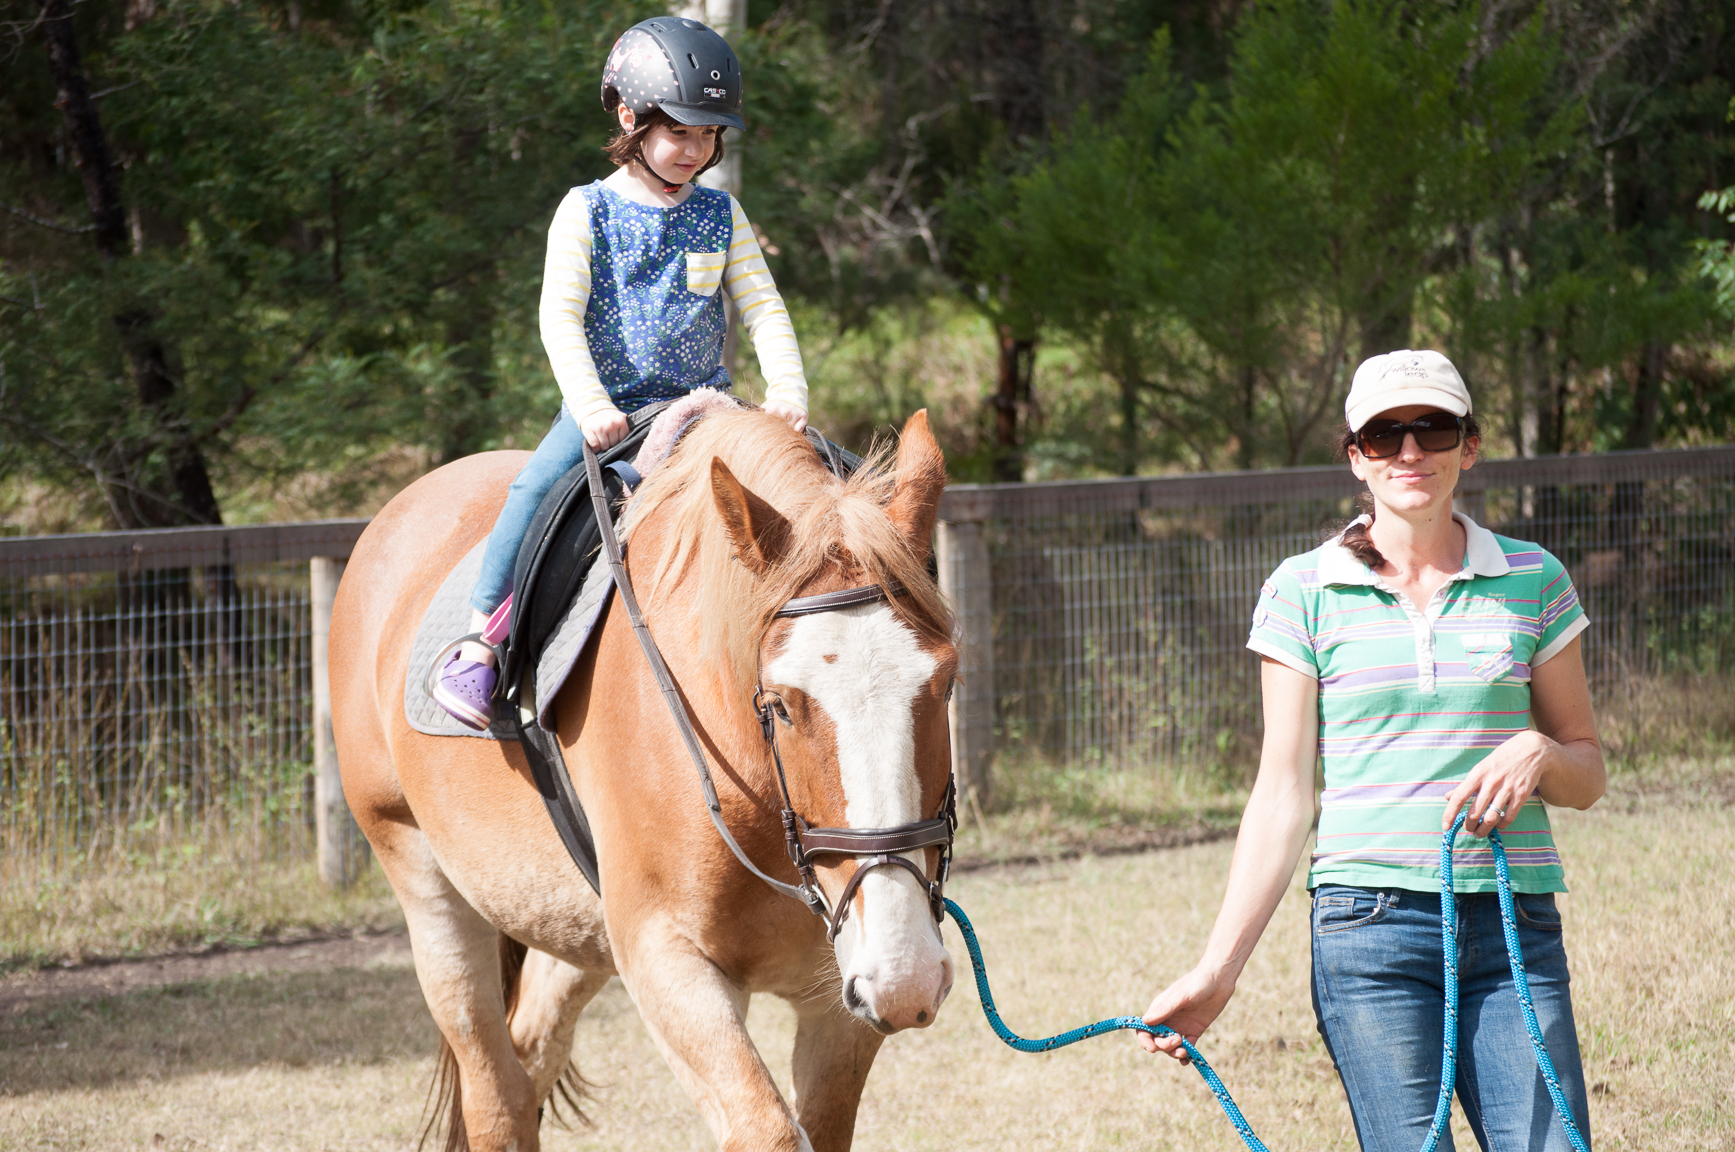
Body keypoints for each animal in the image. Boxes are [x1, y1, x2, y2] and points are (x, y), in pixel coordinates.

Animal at [329, 407, 959, 1152]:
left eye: (947, 682)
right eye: (778, 704)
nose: (908, 975)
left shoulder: (843, 993)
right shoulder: (667, 958)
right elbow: (767, 1132)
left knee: (531, 1054)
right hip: (427, 889)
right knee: (496, 1097)